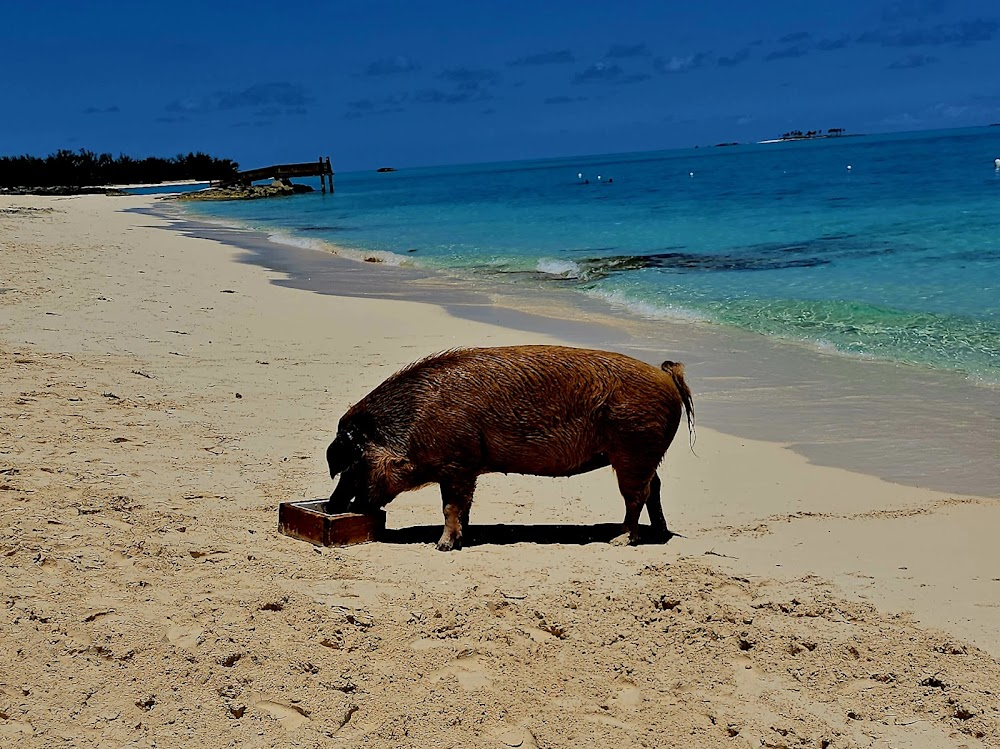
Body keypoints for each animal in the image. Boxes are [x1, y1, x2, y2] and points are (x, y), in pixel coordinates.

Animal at [324, 344, 692, 548]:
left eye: (353, 462)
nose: (331, 505)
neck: (416, 424)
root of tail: (665, 376)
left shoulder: (457, 464)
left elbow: (450, 506)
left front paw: (442, 547)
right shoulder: (467, 469)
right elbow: (464, 507)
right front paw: (463, 539)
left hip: (635, 449)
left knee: (637, 496)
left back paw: (620, 539)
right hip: (643, 455)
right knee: (655, 487)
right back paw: (658, 532)